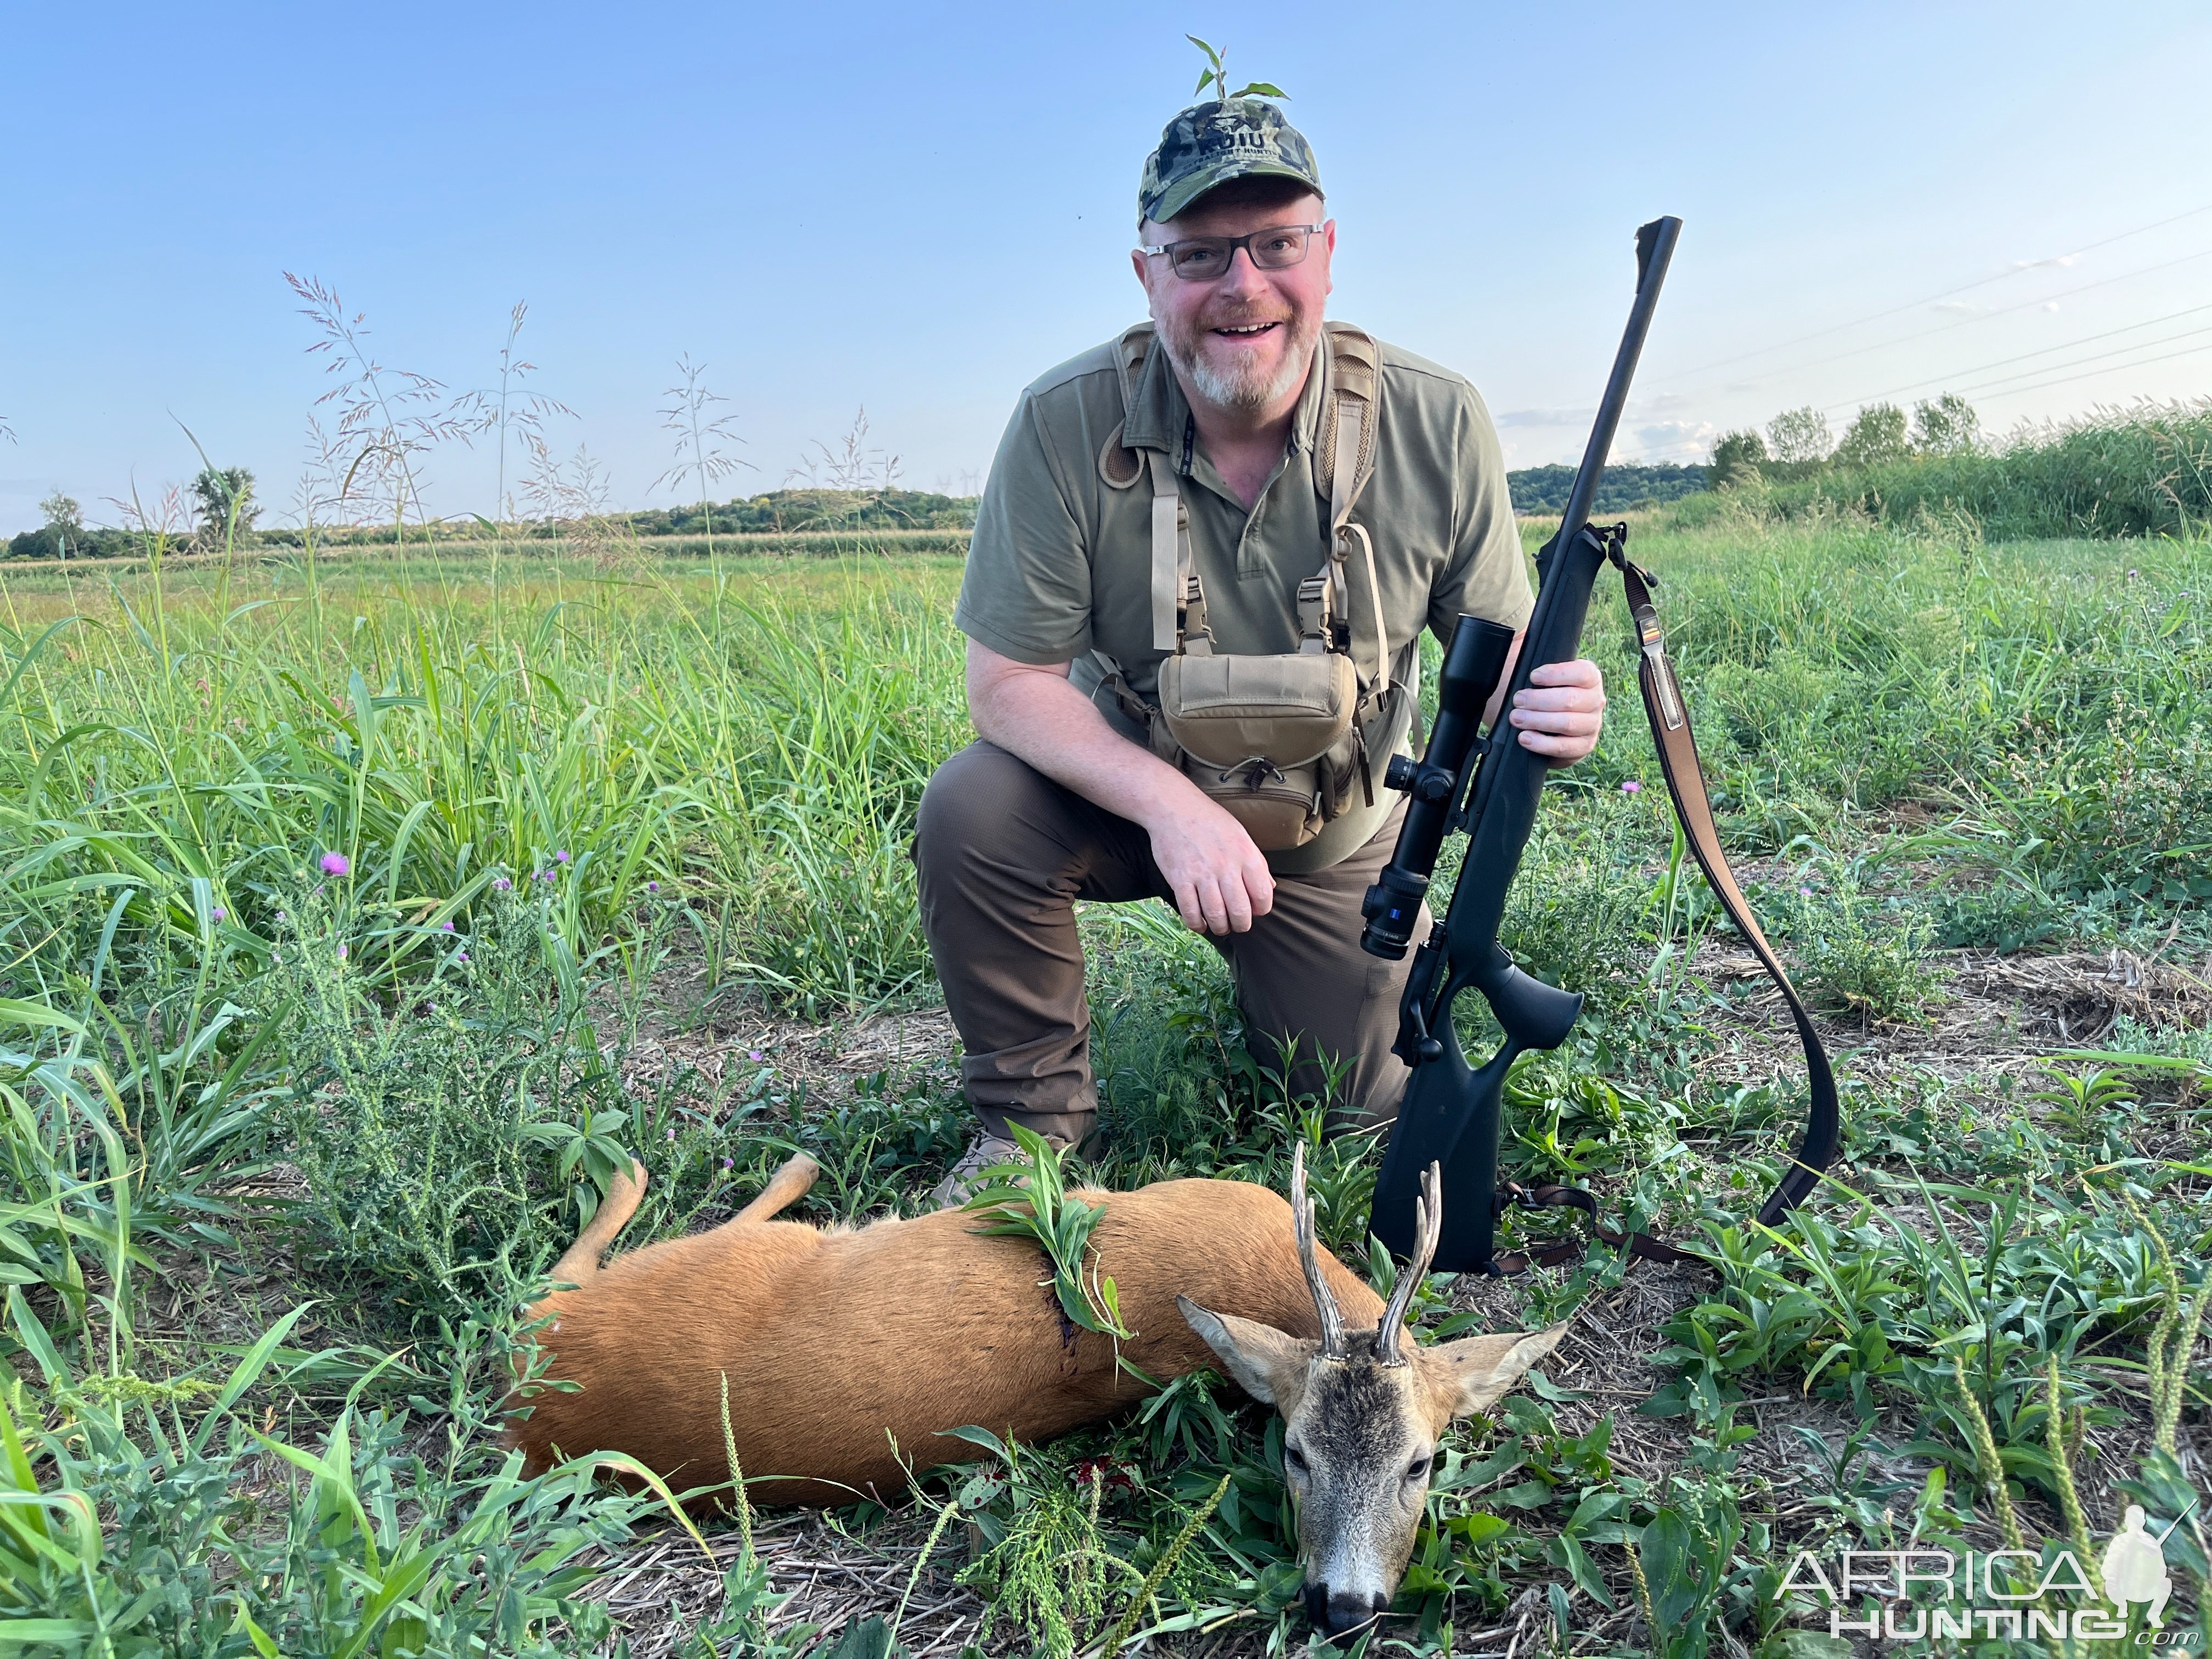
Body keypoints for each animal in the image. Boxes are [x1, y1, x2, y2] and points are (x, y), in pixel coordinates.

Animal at [506, 1141, 1566, 1637]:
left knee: (561, 1271)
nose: (1342, 1605)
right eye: (1295, 1452)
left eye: (1421, 1463)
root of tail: (528, 1414)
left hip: (693, 1269)